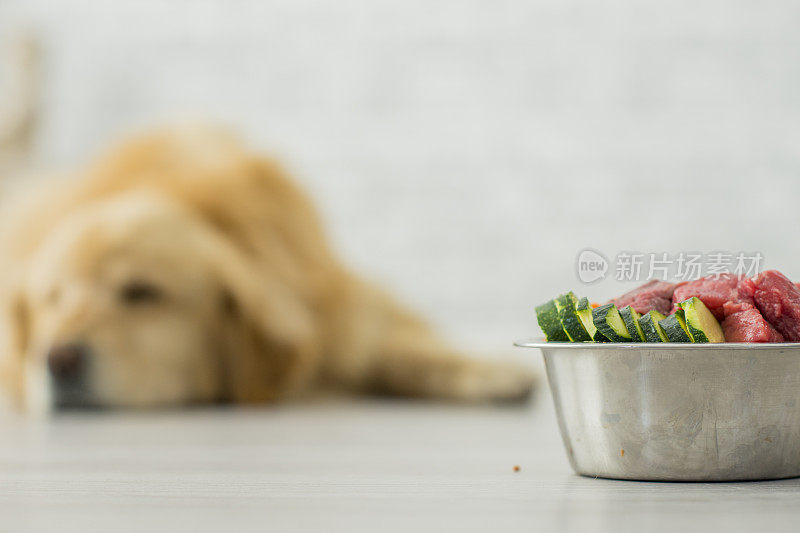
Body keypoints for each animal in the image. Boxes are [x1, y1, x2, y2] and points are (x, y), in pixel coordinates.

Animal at [1, 129, 536, 412]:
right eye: (49, 300)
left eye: (142, 292)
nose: (57, 360)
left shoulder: (345, 304)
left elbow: (398, 345)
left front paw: (484, 368)